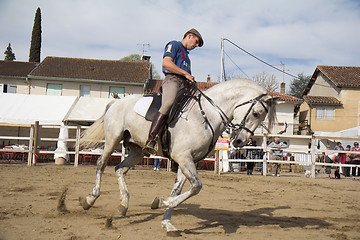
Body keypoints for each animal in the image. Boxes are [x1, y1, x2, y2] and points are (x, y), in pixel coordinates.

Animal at [78, 79, 276, 236]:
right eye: (256, 113)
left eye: (261, 117)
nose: (241, 141)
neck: (208, 115)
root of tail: (115, 103)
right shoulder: (183, 157)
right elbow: (196, 187)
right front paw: (161, 201)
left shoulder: (188, 160)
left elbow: (179, 190)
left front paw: (167, 222)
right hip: (113, 140)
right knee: (101, 164)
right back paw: (90, 199)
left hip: (138, 150)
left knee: (119, 169)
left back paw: (123, 205)